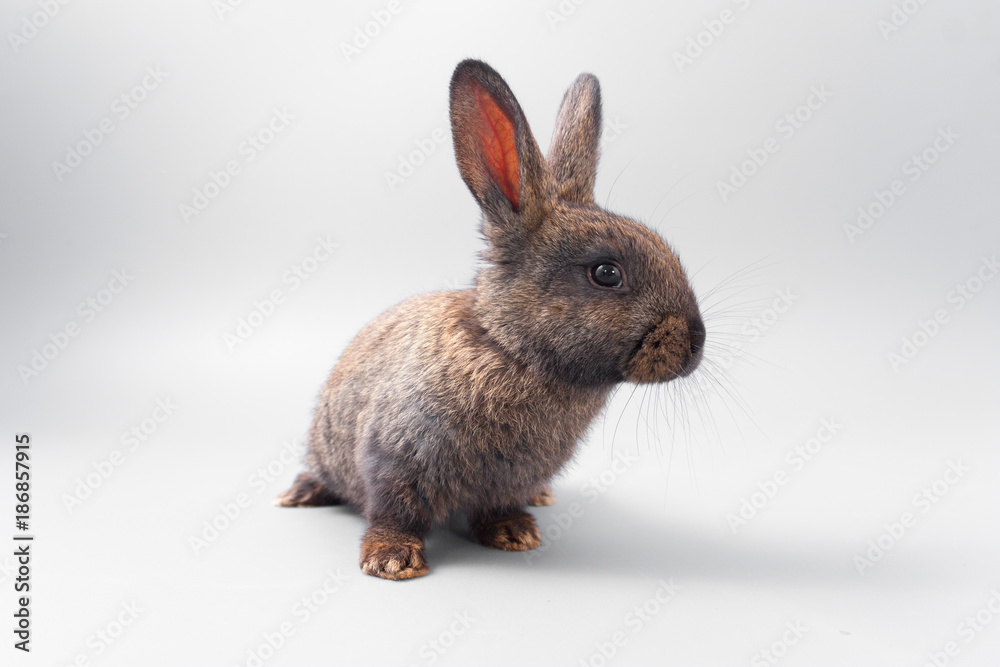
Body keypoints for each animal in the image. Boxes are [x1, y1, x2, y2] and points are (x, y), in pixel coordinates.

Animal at [276, 59, 705, 580]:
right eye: (607, 273)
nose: (697, 344)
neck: (510, 347)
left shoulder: (505, 480)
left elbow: (497, 506)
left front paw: (514, 534)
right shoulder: (394, 455)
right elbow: (393, 510)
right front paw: (391, 560)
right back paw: (299, 494)